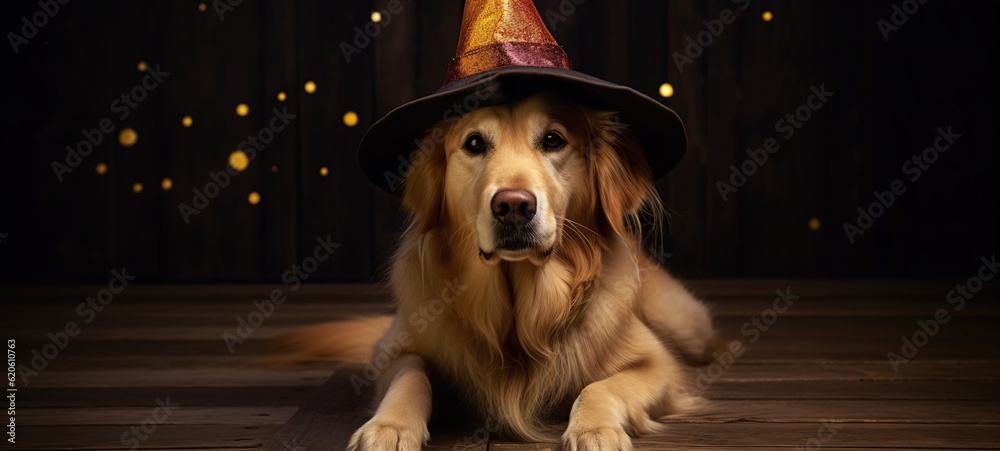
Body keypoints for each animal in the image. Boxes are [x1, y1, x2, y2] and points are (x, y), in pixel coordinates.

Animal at [278, 92, 720, 451]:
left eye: (553, 140)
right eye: (474, 143)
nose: (514, 206)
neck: (517, 316)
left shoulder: (659, 365)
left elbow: (601, 385)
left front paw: (594, 429)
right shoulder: (393, 349)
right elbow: (412, 374)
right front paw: (390, 426)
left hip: (686, 326)